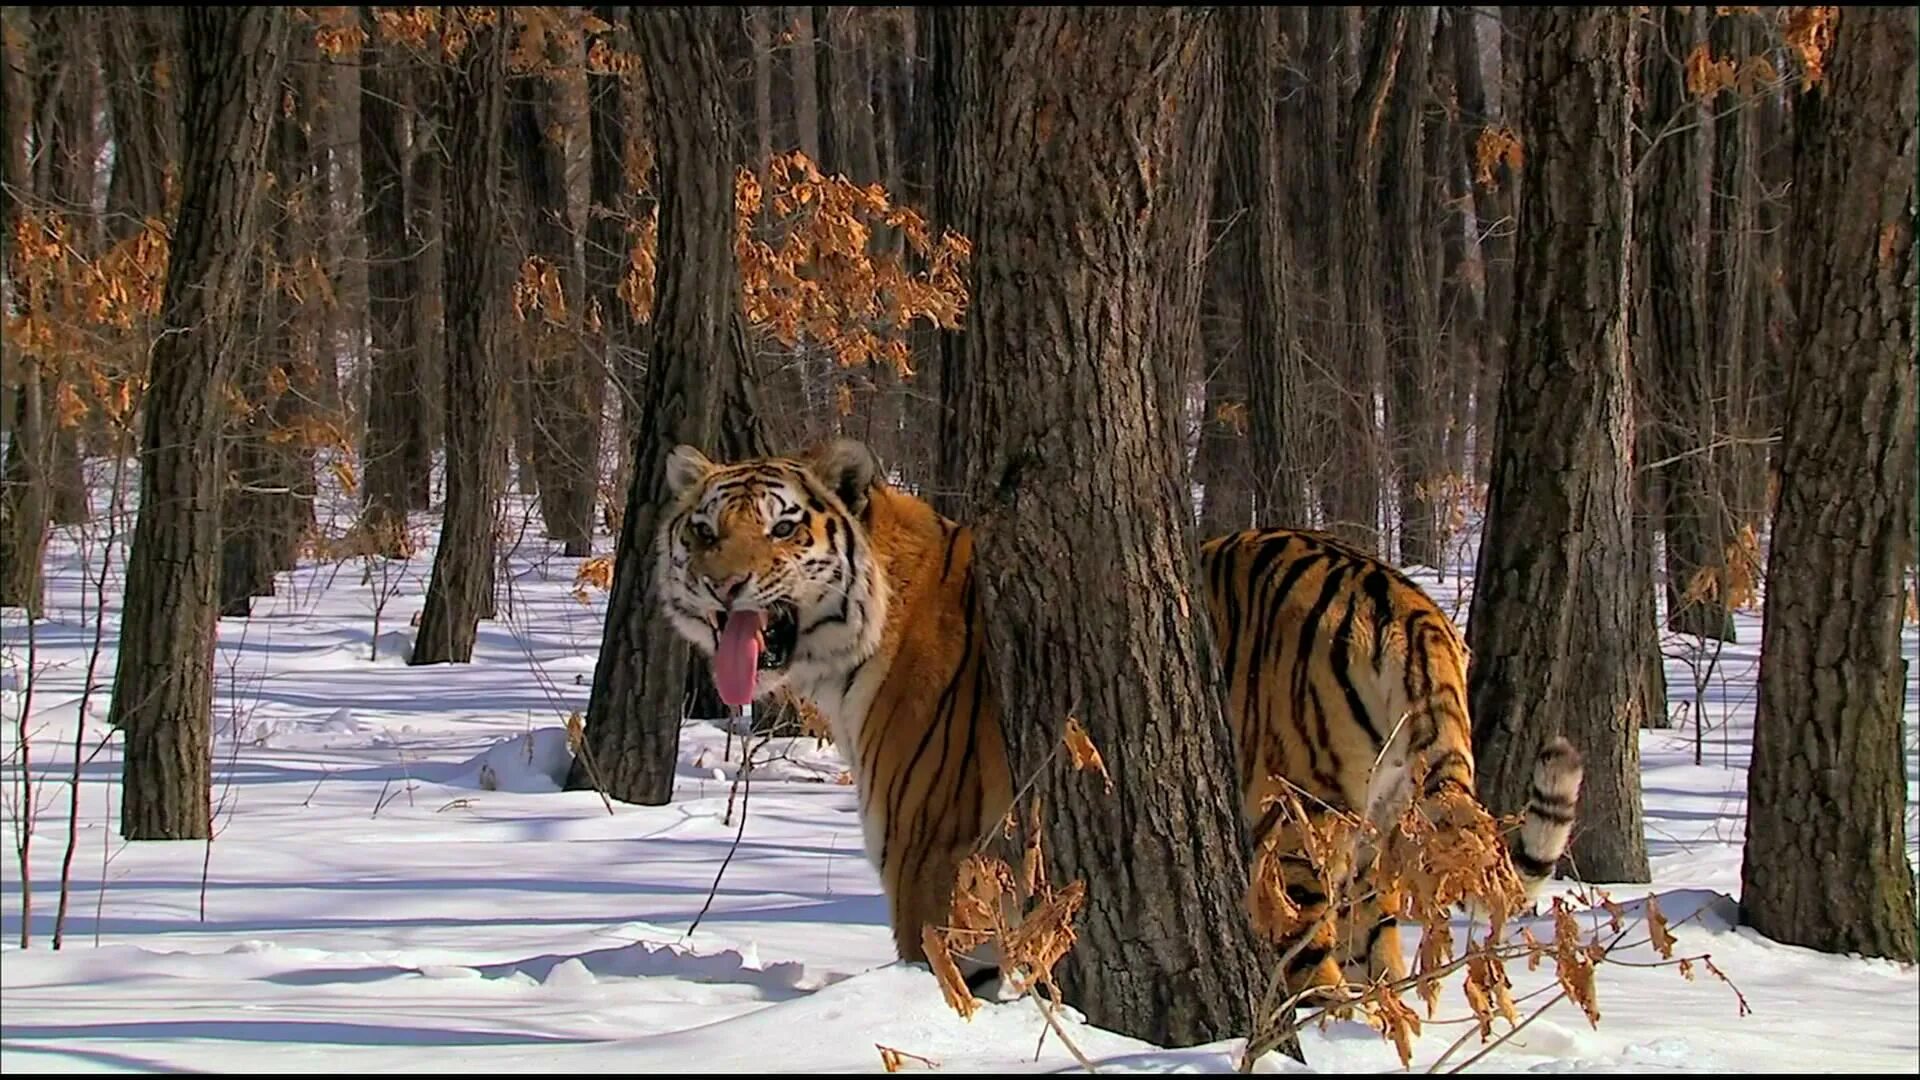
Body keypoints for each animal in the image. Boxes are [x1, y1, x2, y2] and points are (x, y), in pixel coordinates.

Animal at [652, 434, 1582, 999]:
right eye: (703, 532)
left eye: (782, 528)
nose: (724, 585)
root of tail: (1404, 600)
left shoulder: (936, 873)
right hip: (1374, 863)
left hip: (1289, 850)